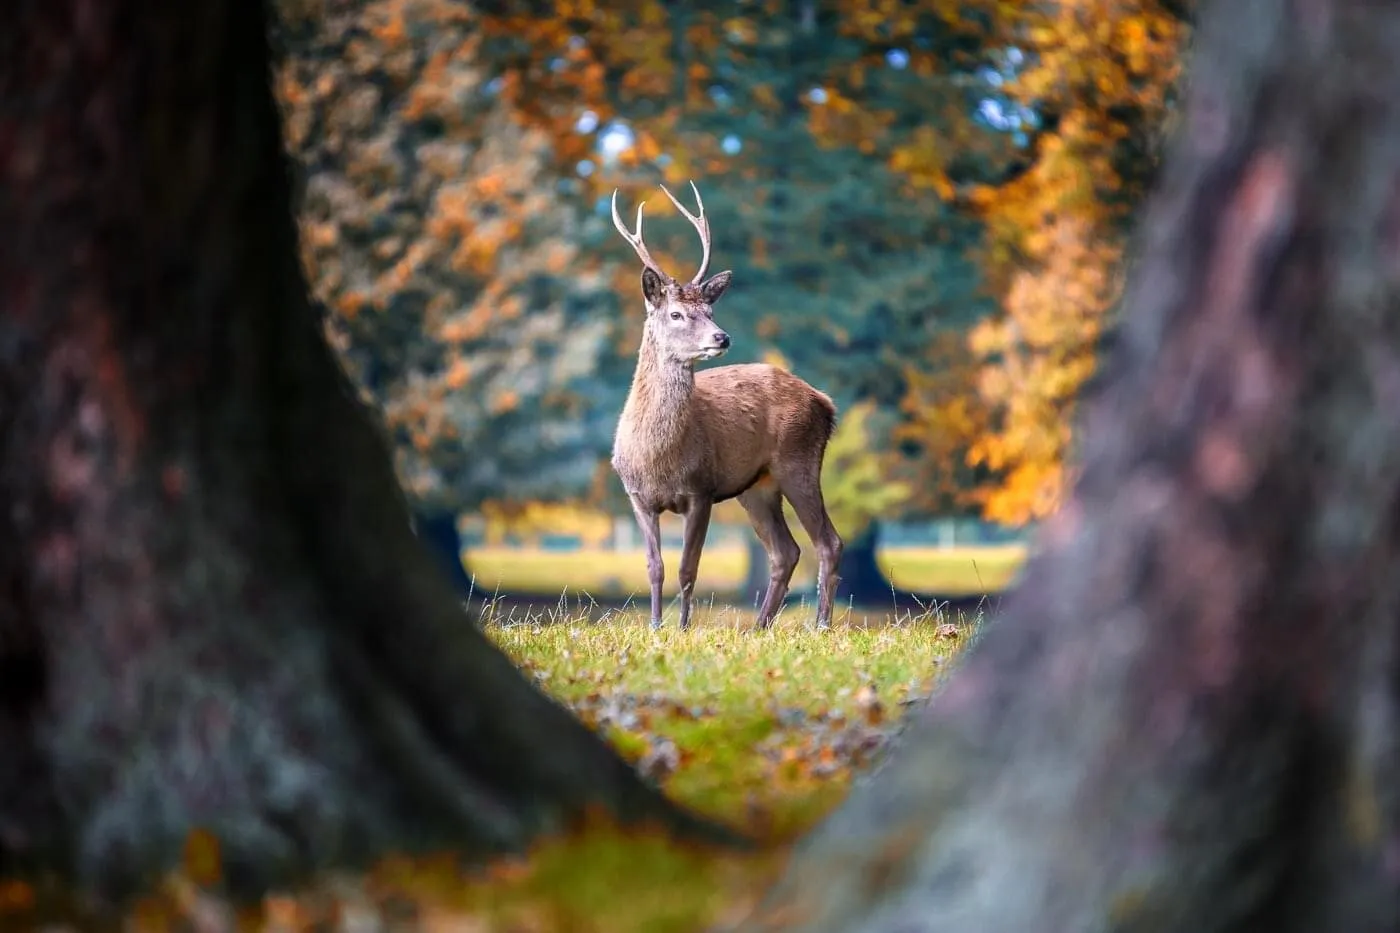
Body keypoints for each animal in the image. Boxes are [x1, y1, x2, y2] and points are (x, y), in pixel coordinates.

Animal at [609, 181, 844, 632]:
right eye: (676, 313)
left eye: (710, 309)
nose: (722, 337)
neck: (657, 457)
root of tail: (825, 402)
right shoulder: (636, 495)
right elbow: (654, 567)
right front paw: (655, 627)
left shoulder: (701, 489)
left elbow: (688, 568)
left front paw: (683, 629)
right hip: (757, 486)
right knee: (785, 551)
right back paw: (759, 627)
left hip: (799, 461)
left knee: (828, 541)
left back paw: (821, 625)